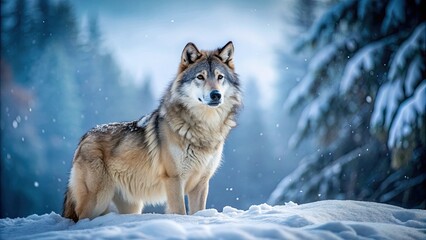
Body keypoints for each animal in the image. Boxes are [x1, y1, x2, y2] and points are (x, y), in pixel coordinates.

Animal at [63, 40, 243, 221]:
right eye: (200, 77)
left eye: (220, 77)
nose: (216, 95)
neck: (204, 128)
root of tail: (84, 138)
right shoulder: (173, 179)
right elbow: (180, 211)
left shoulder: (201, 183)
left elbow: (197, 211)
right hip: (96, 202)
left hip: (131, 206)